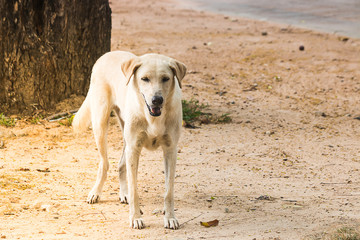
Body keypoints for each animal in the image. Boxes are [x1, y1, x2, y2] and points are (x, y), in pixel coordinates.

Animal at [72, 50, 187, 229]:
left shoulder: (170, 150)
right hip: (101, 124)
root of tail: (107, 53)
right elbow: (134, 190)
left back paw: (123, 193)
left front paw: (170, 217)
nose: (157, 100)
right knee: (104, 163)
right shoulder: (134, 148)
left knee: (121, 165)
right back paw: (96, 192)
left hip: (125, 133)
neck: (153, 117)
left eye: (165, 78)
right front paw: (135, 218)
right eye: (144, 79)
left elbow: (169, 191)